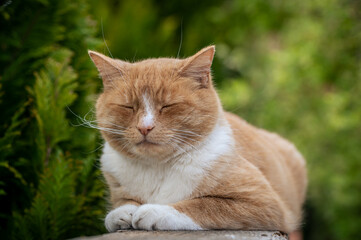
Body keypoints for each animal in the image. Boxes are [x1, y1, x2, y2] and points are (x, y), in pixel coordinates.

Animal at [88, 46, 306, 233]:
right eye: (128, 107)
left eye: (168, 106)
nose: (144, 127)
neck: (157, 168)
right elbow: (121, 204)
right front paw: (123, 212)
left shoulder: (264, 203)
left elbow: (203, 205)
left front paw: (154, 210)